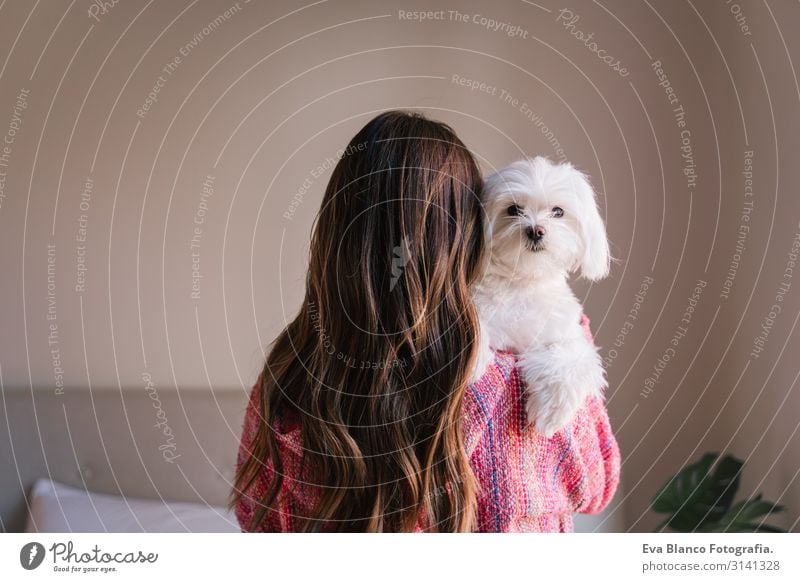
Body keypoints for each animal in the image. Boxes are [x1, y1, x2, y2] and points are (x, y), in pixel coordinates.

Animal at [472, 157, 608, 440]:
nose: (535, 230)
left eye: (558, 211)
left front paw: (552, 412)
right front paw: (474, 360)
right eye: (514, 209)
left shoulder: (566, 334)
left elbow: (571, 359)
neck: (523, 283)